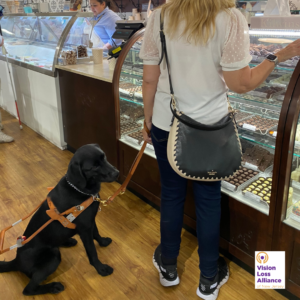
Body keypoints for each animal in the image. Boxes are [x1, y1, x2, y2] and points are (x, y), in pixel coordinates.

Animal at [0, 145, 119, 296]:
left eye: (104, 157)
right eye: (94, 166)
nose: (117, 173)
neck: (79, 188)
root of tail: (16, 261)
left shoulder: (90, 221)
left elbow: (96, 233)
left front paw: (103, 242)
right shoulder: (85, 229)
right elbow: (92, 251)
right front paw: (101, 269)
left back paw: (68, 241)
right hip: (53, 256)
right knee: (28, 289)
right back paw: (53, 287)